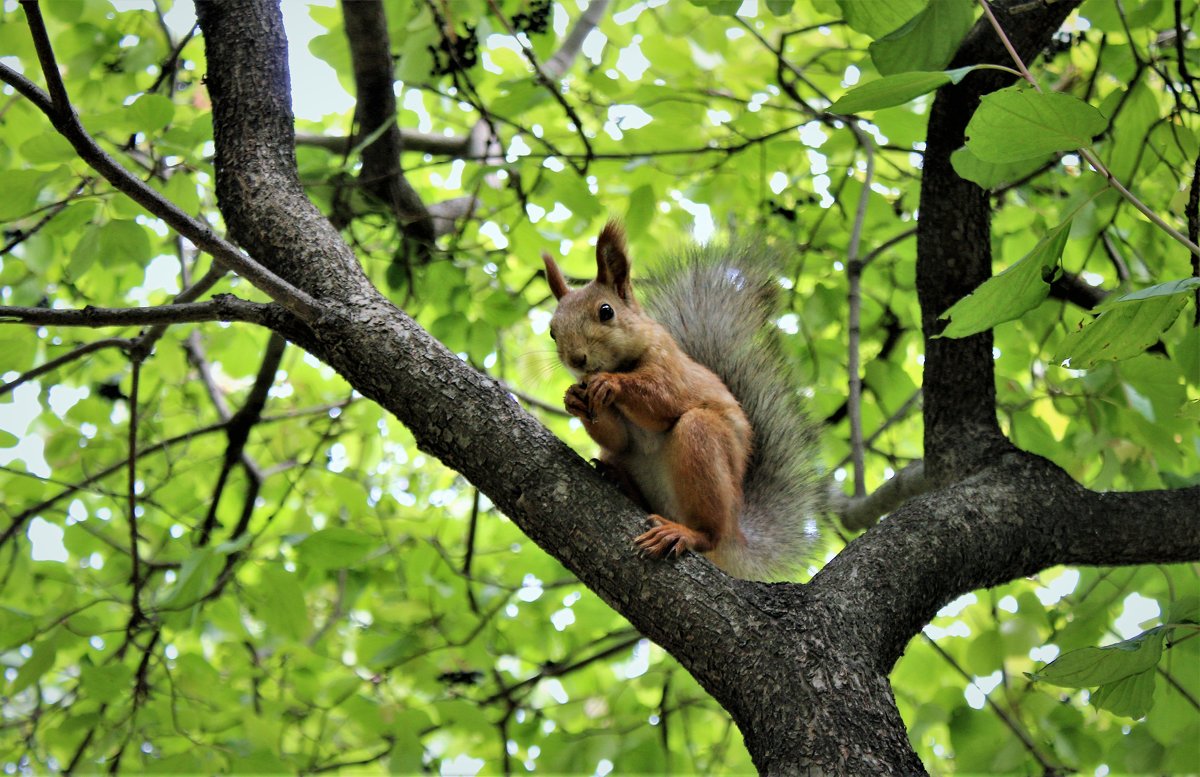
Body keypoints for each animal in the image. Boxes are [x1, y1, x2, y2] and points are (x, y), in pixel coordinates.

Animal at [547, 221, 820, 580]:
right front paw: (574, 399)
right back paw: (618, 479)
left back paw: (685, 533)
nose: (577, 359)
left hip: (703, 448)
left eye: (606, 311)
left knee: (708, 527)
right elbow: (617, 438)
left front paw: (611, 383)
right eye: (552, 330)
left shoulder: (672, 369)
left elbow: (662, 399)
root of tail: (735, 533)